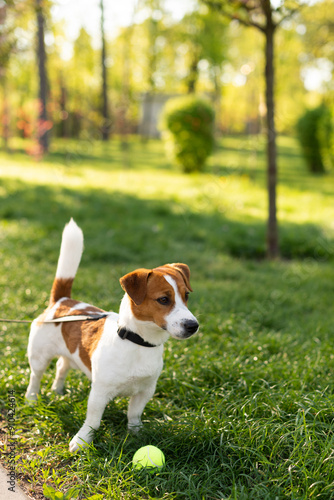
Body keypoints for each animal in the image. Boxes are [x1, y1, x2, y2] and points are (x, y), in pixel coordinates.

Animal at [26, 219, 198, 454]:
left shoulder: (145, 391)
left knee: (62, 366)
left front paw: (136, 433)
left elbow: (134, 414)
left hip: (70, 352)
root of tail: (62, 301)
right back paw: (31, 399)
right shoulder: (99, 393)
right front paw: (82, 441)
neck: (138, 343)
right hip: (39, 356)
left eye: (186, 295)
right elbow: (93, 420)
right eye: (163, 299)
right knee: (36, 376)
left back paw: (58, 390)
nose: (193, 326)